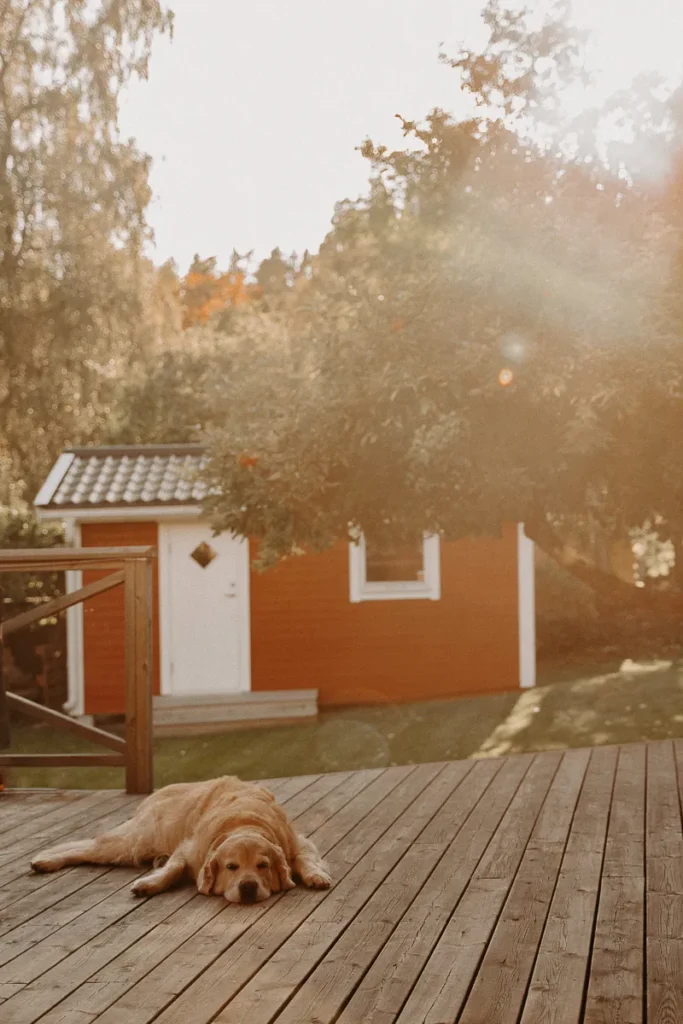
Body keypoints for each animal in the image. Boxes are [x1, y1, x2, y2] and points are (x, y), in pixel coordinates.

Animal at [30, 774, 333, 905]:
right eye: (231, 867)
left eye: (263, 866)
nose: (248, 887)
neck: (245, 824)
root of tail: (161, 790)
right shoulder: (189, 850)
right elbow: (174, 868)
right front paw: (149, 884)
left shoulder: (297, 841)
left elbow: (305, 858)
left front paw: (316, 875)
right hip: (136, 840)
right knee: (89, 845)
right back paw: (45, 859)